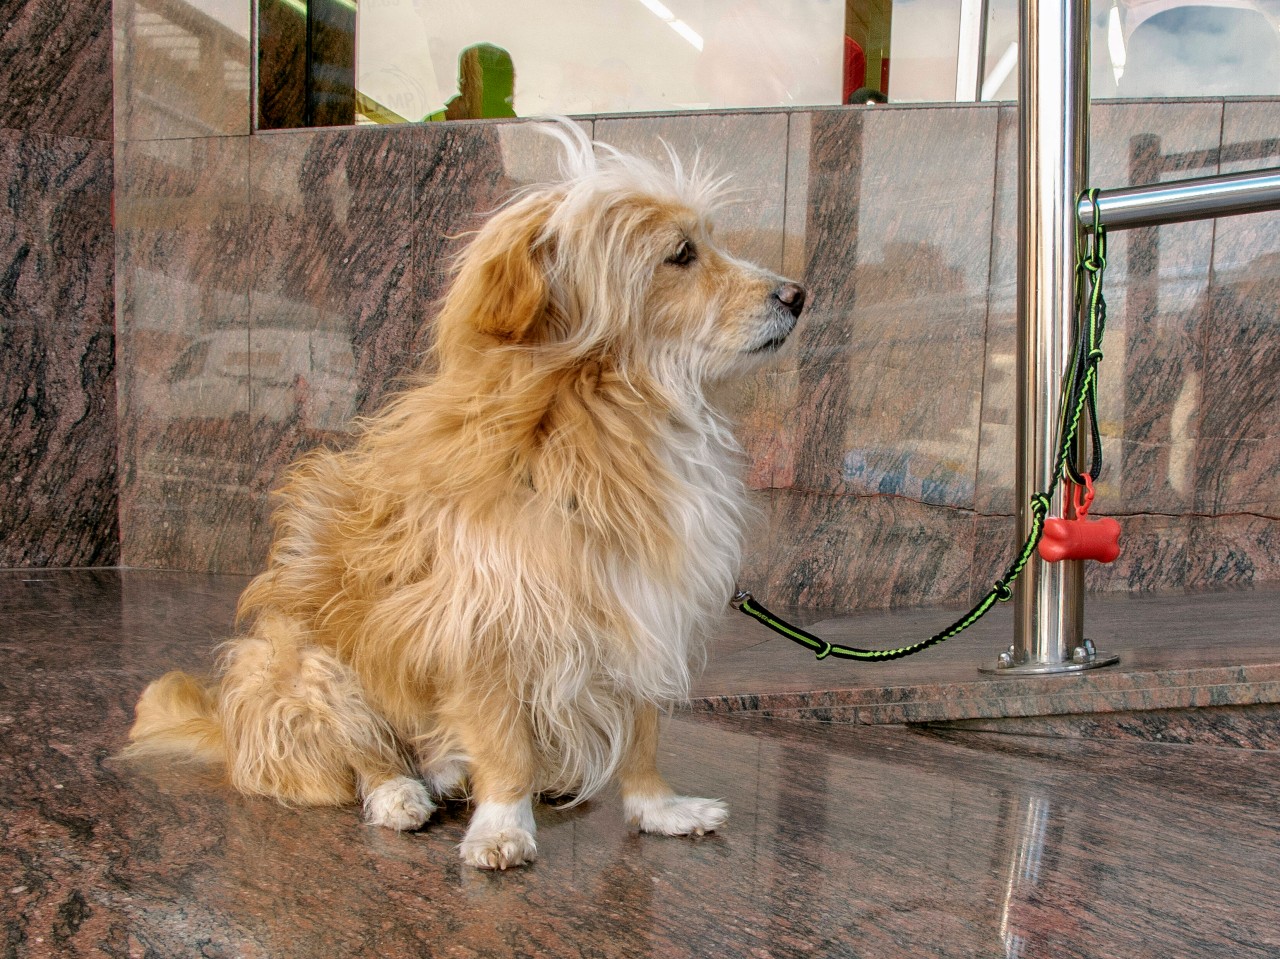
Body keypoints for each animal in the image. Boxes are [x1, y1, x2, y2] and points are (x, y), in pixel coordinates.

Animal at [129, 119, 808, 865]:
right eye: (681, 254)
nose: (798, 294)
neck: (600, 421)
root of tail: (230, 730)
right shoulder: (480, 618)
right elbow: (502, 738)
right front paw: (504, 821)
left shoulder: (641, 603)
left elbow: (642, 730)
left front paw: (657, 807)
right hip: (299, 658)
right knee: (361, 747)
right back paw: (401, 791)